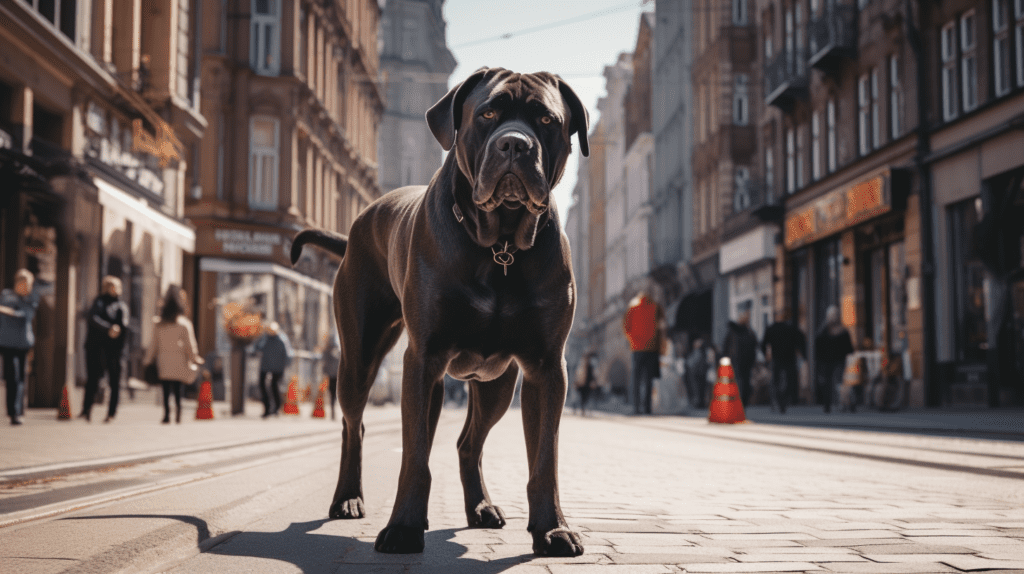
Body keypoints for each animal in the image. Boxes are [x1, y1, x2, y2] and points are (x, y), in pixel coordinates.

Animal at [292, 67, 589, 556]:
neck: (500, 247)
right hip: (360, 357)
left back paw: (481, 507)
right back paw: (349, 498)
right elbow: (415, 455)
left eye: (546, 120)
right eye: (487, 113)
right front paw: (403, 527)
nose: (515, 144)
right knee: (354, 426)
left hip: (496, 385)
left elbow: (545, 459)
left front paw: (552, 529)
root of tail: (357, 226)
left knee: (469, 443)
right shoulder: (423, 359)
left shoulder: (547, 367)